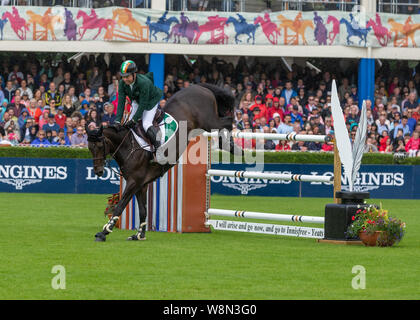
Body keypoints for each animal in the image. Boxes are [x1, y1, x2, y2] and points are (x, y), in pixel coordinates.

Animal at [86, 84, 236, 241]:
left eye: (100, 146)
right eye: (89, 148)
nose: (98, 171)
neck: (128, 145)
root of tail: (200, 87)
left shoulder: (133, 182)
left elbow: (120, 206)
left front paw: (104, 232)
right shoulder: (141, 184)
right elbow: (143, 210)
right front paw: (139, 234)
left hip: (208, 121)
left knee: (227, 121)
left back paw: (233, 146)